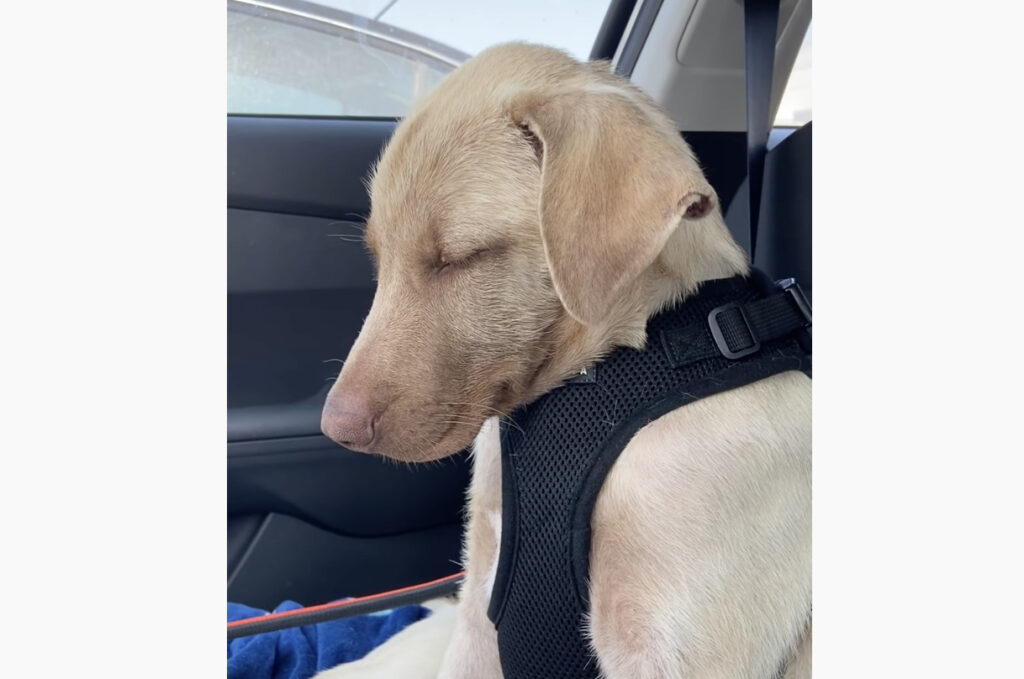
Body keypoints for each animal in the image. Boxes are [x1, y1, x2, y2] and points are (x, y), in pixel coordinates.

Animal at [317, 43, 811, 679]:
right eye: (378, 257)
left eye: (462, 257)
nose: (336, 431)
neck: (597, 374)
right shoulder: (478, 609)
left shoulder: (676, 654)